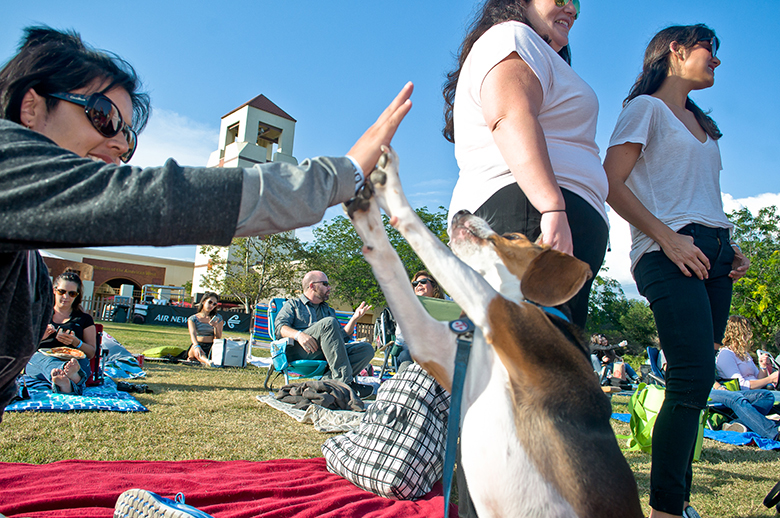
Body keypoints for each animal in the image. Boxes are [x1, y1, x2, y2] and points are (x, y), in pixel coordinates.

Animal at [346, 147, 640, 518]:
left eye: (513, 237)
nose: (462, 210)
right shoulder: (429, 343)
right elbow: (388, 261)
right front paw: (369, 213)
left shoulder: (499, 312)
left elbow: (415, 228)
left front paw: (390, 184)